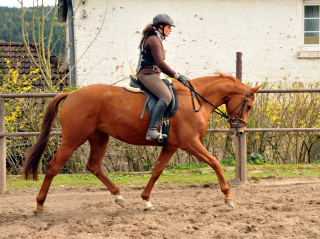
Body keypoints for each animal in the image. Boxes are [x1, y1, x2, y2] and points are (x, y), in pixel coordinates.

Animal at [24, 72, 260, 215]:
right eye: (248, 105)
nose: (240, 130)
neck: (196, 100)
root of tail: (71, 93)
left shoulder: (171, 146)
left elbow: (156, 172)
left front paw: (146, 200)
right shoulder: (190, 143)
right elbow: (215, 163)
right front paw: (228, 197)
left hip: (99, 137)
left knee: (94, 165)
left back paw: (118, 196)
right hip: (73, 138)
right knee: (53, 166)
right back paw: (39, 205)